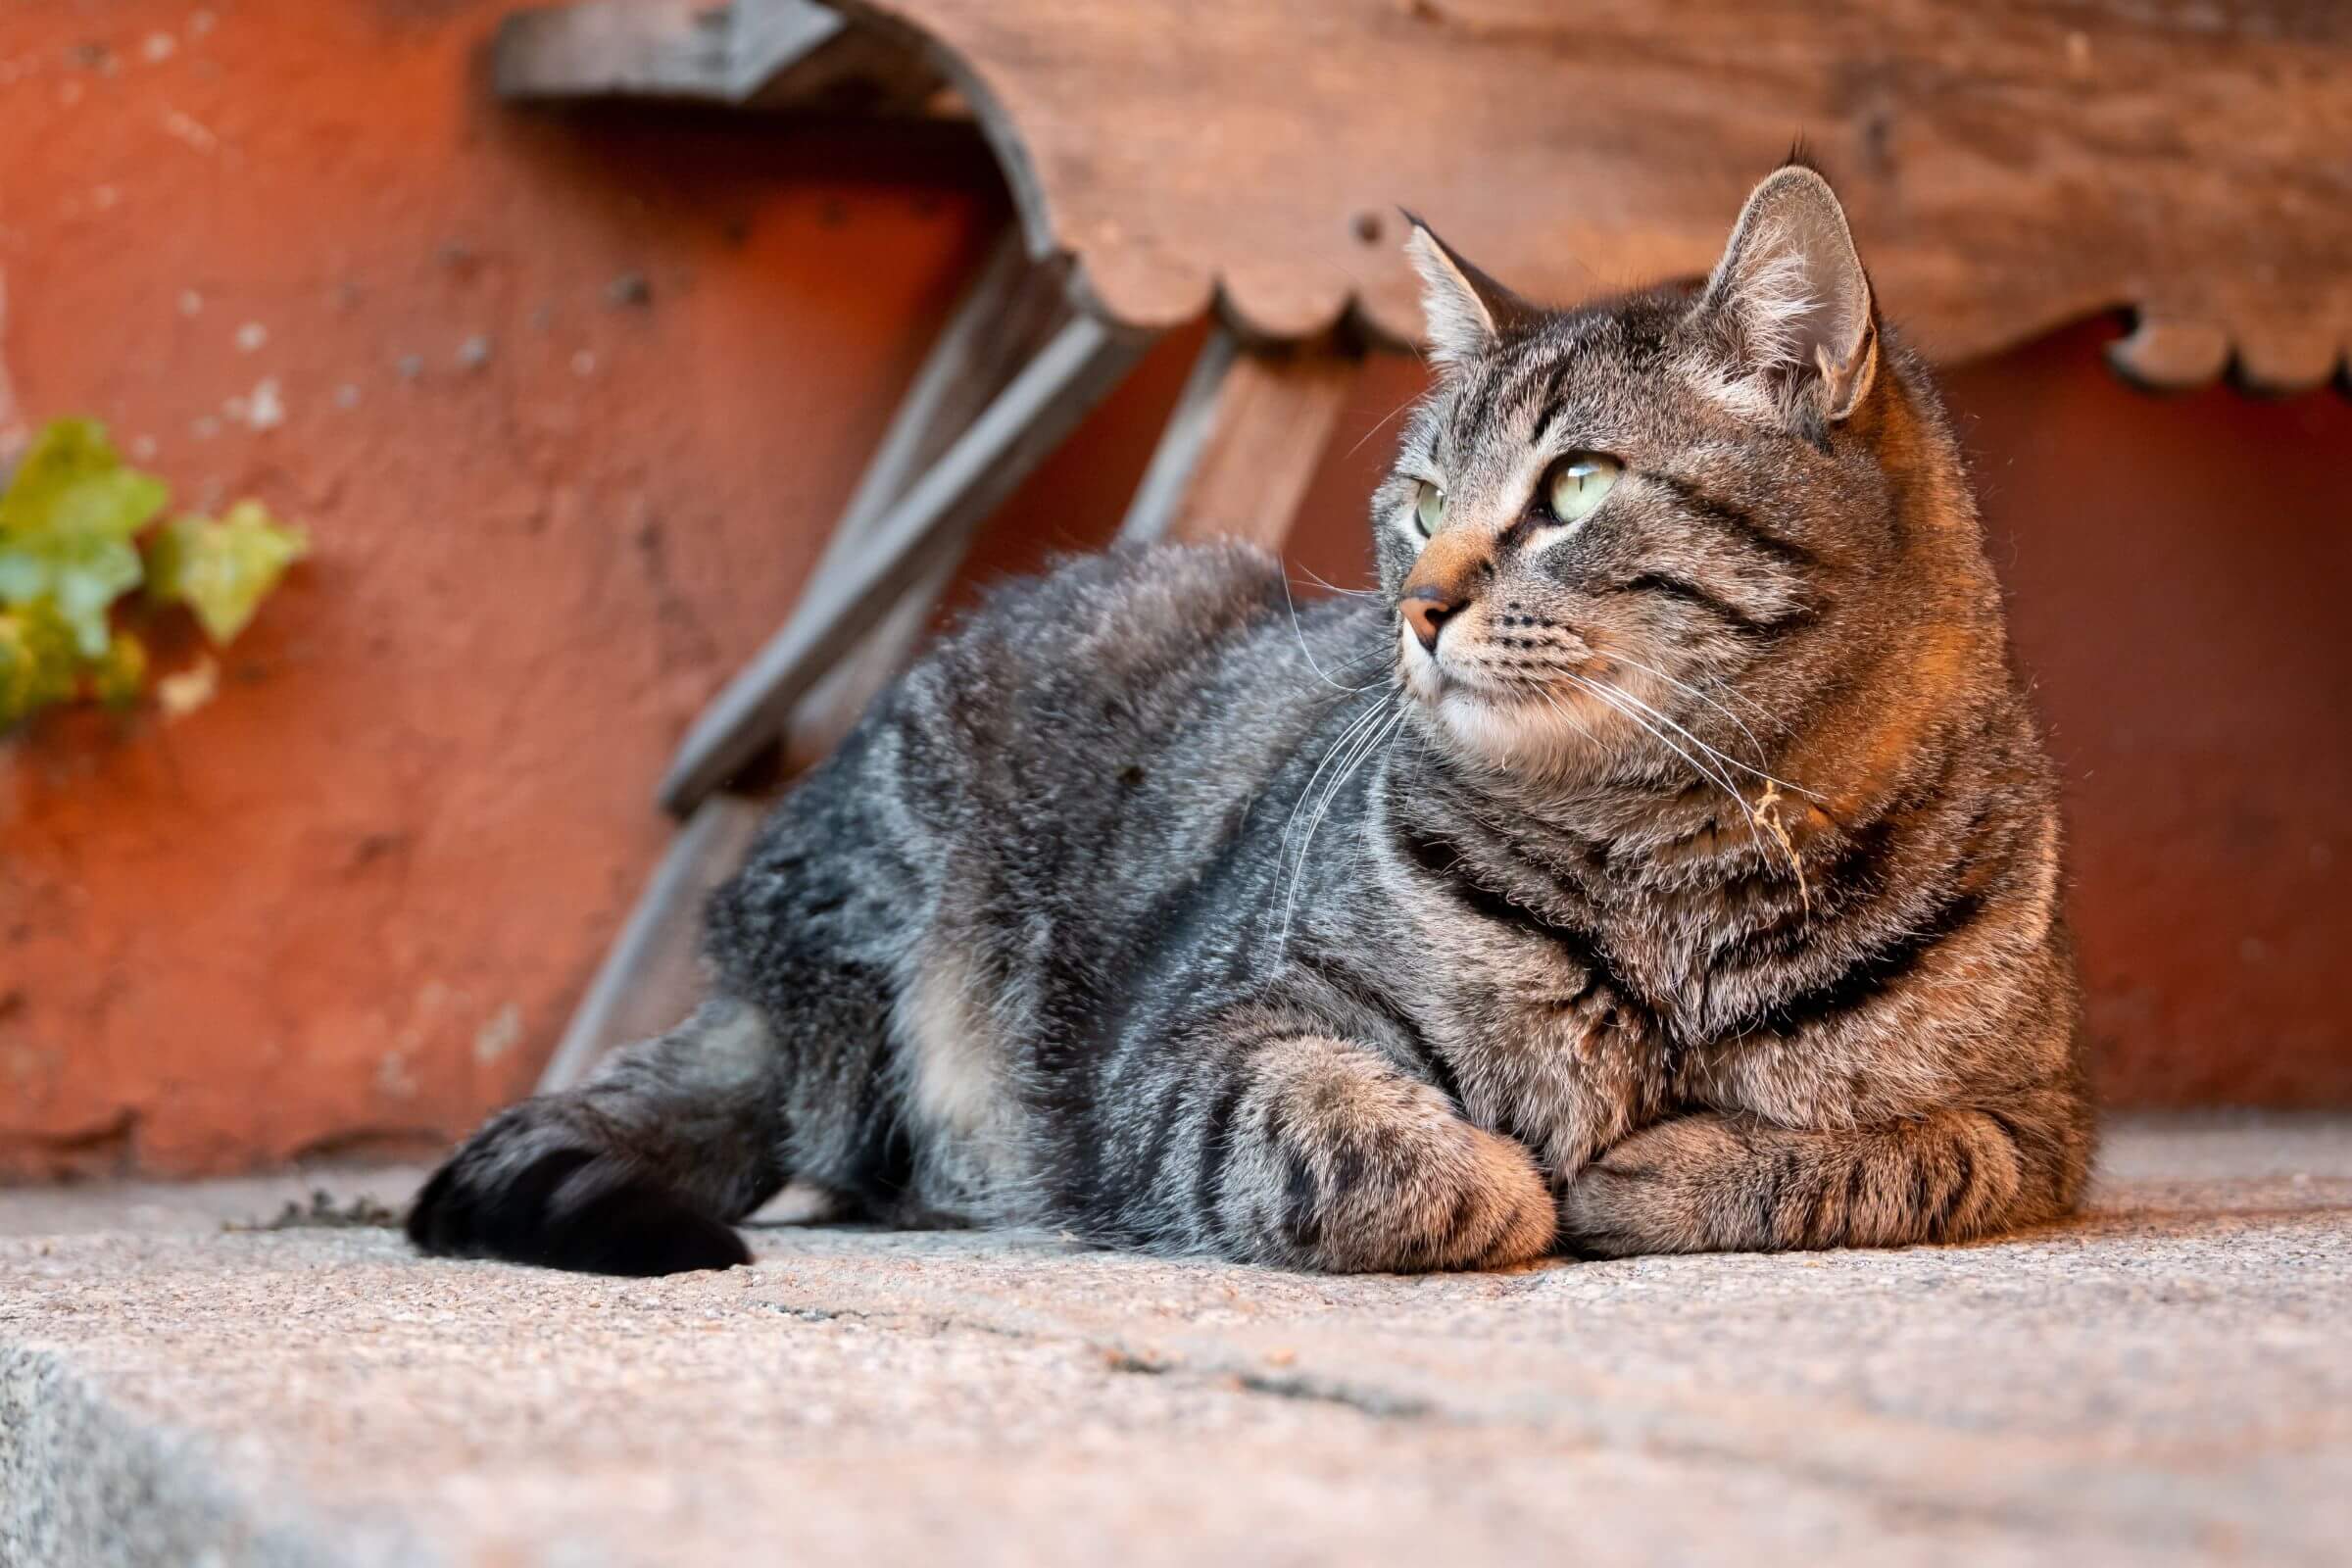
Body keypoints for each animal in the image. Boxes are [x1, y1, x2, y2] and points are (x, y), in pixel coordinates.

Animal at [409, 162, 2097, 1278]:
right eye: (1418, 494)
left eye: (1574, 488)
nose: (1420, 602)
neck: (1667, 870)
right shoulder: (1201, 1036)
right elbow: (1349, 1141)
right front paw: (1499, 1183)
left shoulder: (2036, 1123)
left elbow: (1879, 1162)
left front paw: (1657, 1171)